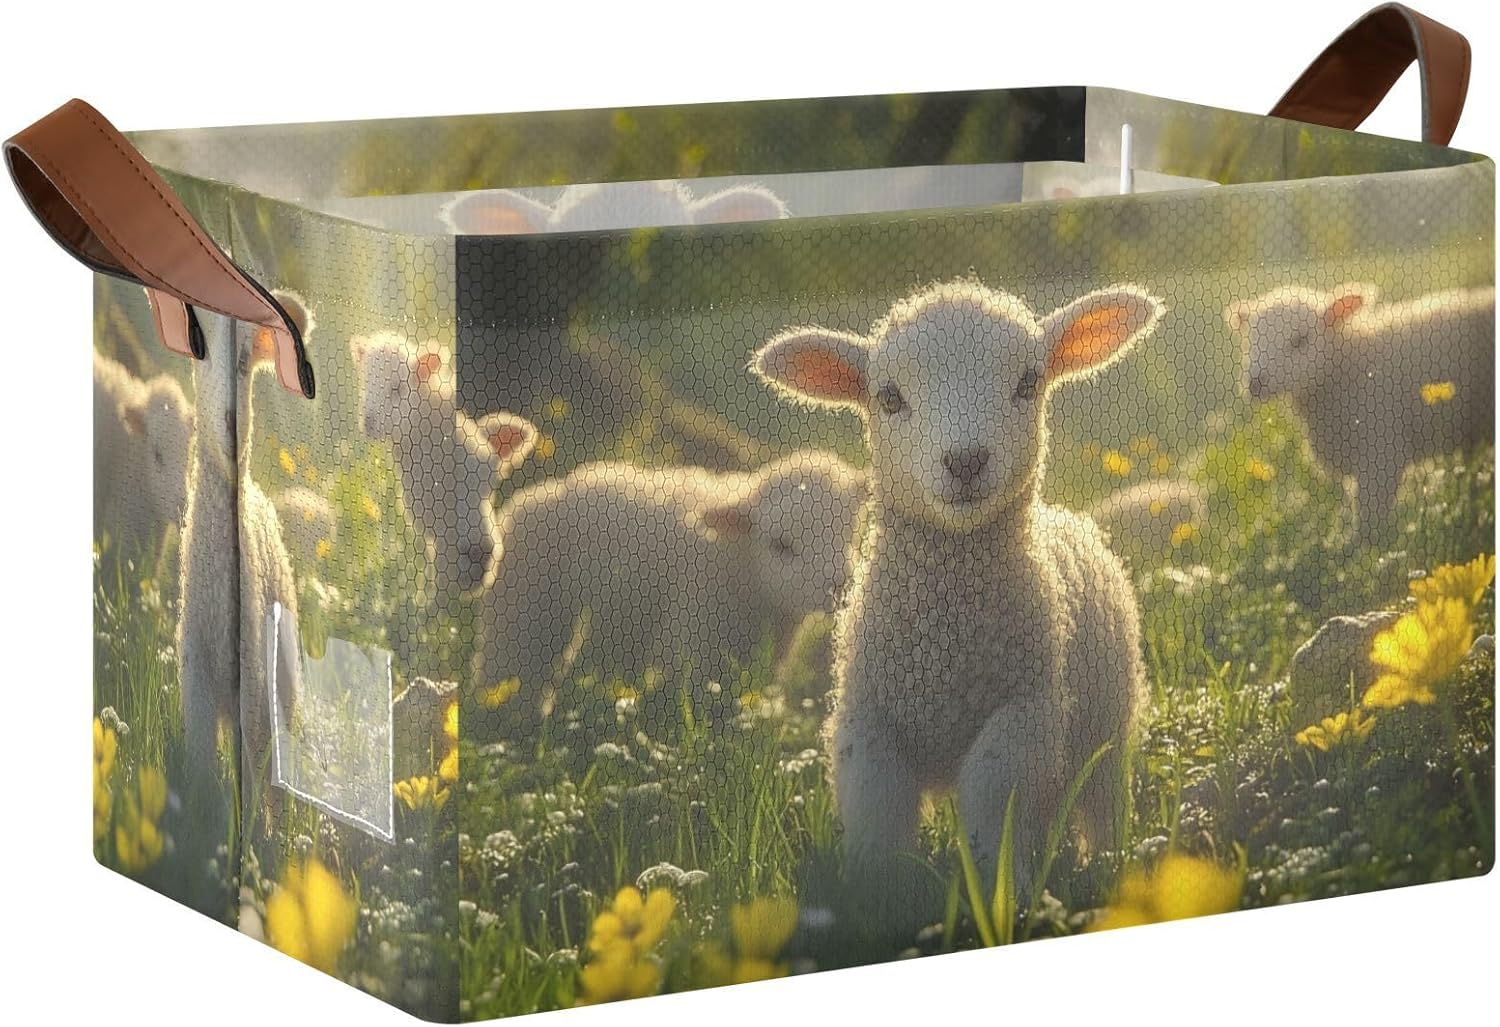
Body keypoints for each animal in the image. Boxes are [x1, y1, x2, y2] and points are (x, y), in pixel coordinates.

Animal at [177, 293, 312, 827]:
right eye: (199, 353)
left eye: (242, 363)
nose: (231, 424)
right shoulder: (193, 678)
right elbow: (198, 775)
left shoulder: (254, 680)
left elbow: (259, 777)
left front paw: (264, 840)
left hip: (282, 666)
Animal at [469, 451, 867, 737]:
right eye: (782, 545)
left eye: (851, 532)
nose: (841, 586)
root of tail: (532, 494)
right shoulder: (690, 640)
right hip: (520, 612)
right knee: (508, 672)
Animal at [752, 280, 1162, 910]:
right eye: (888, 398)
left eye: (1028, 383)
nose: (966, 461)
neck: (947, 642)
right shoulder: (867, 721)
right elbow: (877, 812)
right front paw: (875, 895)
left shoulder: (1024, 713)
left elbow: (994, 798)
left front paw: (1003, 888)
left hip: (1107, 727)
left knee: (1100, 800)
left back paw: (1107, 864)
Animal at [1229, 284, 1495, 537]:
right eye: (1250, 342)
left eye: (1300, 340)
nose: (1255, 383)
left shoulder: (1382, 452)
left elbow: (1368, 523)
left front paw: (1365, 551)